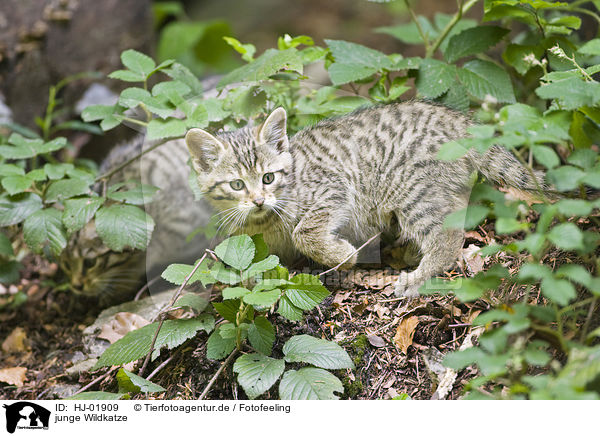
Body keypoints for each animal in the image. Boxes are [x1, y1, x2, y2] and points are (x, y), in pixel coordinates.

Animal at [185, 102, 548, 296]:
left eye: (268, 178)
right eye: (236, 185)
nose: (259, 200)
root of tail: (458, 121)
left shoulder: (334, 187)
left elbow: (304, 231)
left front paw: (342, 256)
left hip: (409, 188)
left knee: (446, 237)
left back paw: (418, 276)